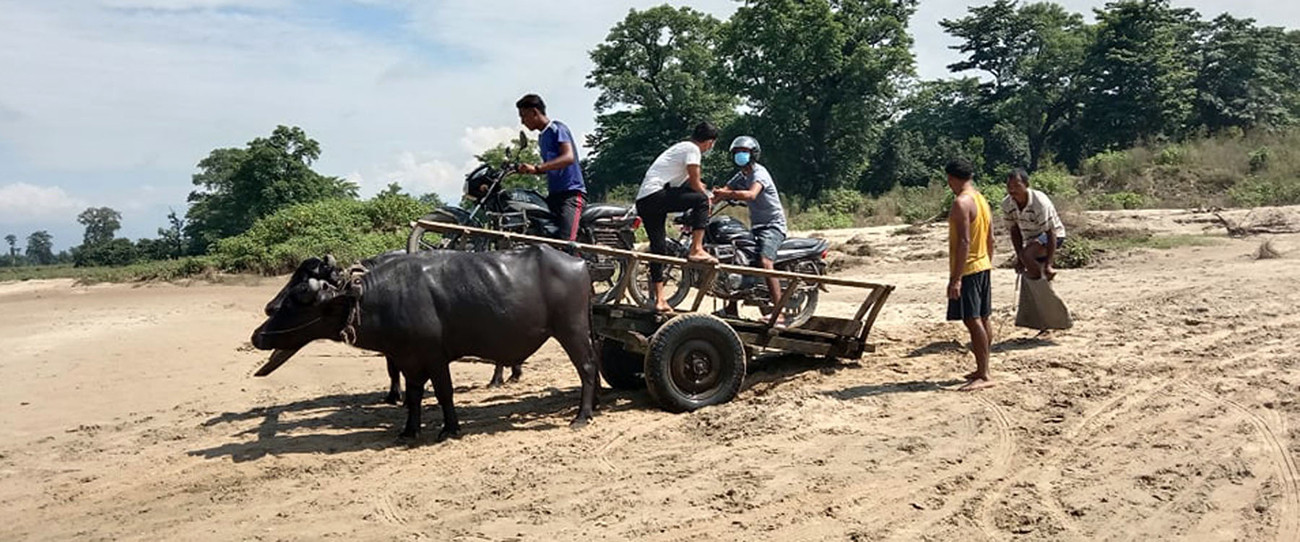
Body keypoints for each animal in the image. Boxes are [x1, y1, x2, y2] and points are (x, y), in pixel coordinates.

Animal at [248, 244, 598, 439]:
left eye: (297, 300)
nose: (258, 335)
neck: (379, 298)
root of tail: (580, 264)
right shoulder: (408, 358)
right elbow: (415, 394)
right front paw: (409, 429)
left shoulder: (434, 357)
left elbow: (444, 393)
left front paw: (450, 429)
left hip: (571, 328)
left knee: (587, 367)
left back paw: (582, 416)